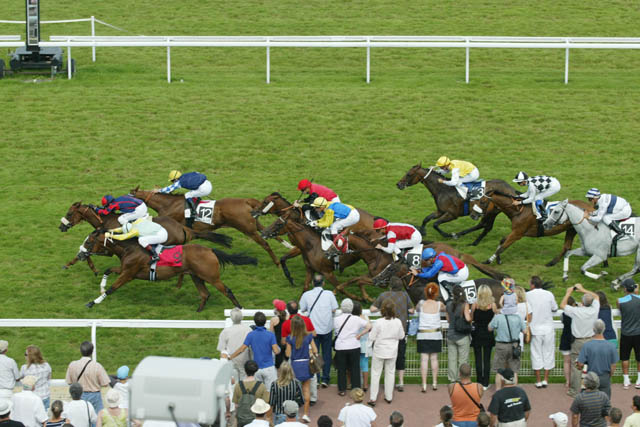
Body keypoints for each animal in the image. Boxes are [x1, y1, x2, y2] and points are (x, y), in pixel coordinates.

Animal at [59, 201, 232, 275]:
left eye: (69, 213)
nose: (61, 227)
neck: (106, 220)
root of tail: (184, 229)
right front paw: (70, 264)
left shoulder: (110, 247)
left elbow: (88, 254)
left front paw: (87, 267)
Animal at [78, 229, 256, 312]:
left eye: (88, 242)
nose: (79, 254)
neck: (130, 248)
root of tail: (211, 250)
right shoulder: (124, 268)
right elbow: (108, 270)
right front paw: (101, 287)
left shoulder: (128, 274)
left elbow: (112, 288)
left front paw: (93, 302)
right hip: (196, 276)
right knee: (205, 294)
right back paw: (198, 312)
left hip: (211, 277)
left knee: (227, 290)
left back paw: (241, 310)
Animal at [130, 187, 288, 266]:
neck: (168, 204)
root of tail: (246, 201)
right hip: (254, 225)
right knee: (270, 233)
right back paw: (289, 246)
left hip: (248, 229)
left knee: (265, 244)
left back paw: (277, 262)